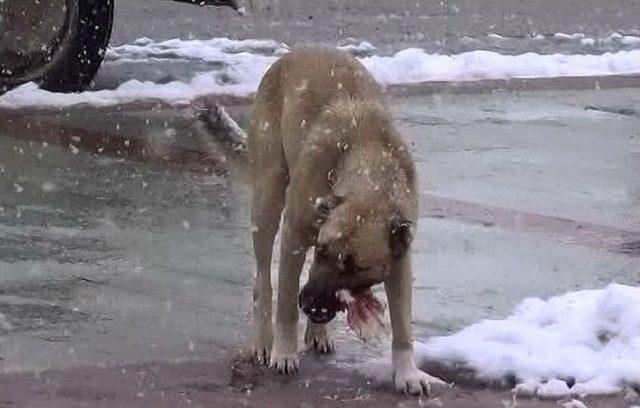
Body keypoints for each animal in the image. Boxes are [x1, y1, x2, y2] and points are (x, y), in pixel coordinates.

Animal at [248, 48, 442, 396]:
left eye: (355, 266)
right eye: (324, 250)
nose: (311, 303)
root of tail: (296, 52)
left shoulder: (401, 256)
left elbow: (403, 326)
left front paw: (407, 373)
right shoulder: (294, 236)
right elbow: (285, 303)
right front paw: (284, 353)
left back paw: (319, 333)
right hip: (267, 196)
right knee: (263, 281)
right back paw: (264, 341)